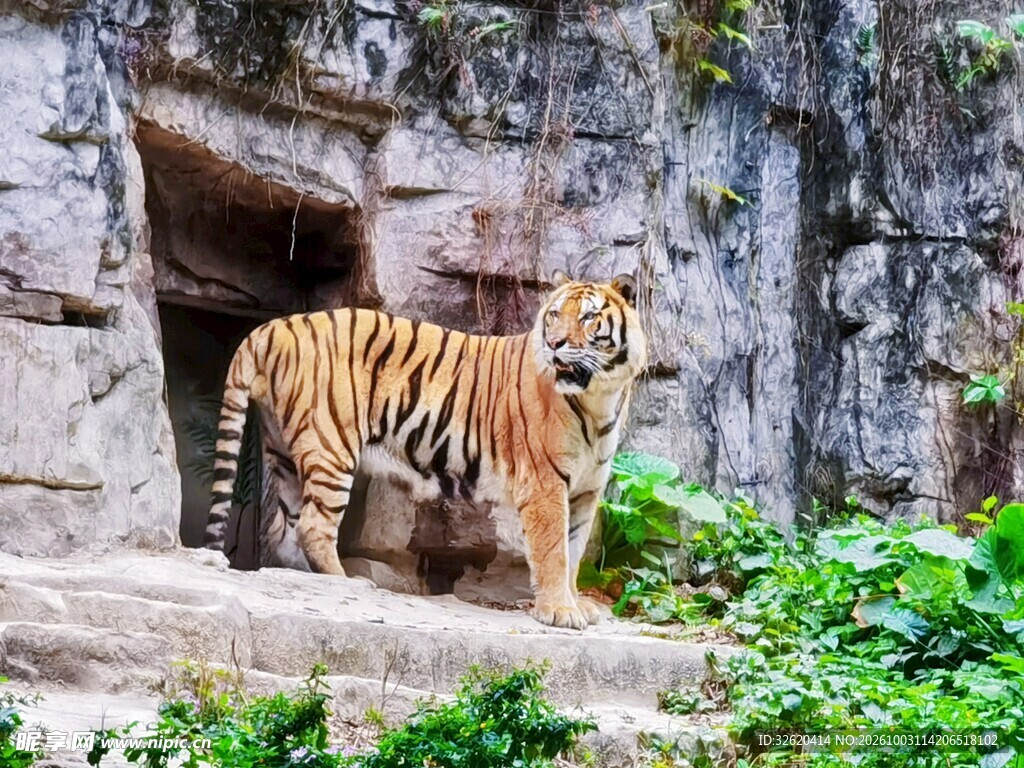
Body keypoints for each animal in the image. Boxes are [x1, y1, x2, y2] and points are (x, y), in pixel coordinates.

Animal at [203, 272, 647, 629]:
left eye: (587, 317)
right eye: (553, 315)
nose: (554, 343)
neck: (599, 399)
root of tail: (272, 327)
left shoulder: (586, 491)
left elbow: (574, 551)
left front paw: (573, 604)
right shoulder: (545, 483)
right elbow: (554, 551)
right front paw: (559, 611)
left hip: (284, 455)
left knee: (284, 529)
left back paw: (307, 575)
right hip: (331, 446)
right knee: (313, 526)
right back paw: (346, 581)